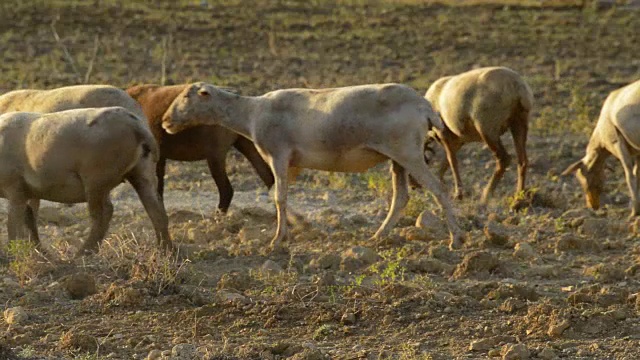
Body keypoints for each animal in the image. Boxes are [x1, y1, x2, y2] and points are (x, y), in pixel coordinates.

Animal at [0, 105, 172, 255]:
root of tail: (137, 126)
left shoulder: (15, 189)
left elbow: (13, 224)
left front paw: (13, 252)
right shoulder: (26, 193)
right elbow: (29, 218)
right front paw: (40, 252)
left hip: (96, 179)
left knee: (103, 213)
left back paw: (83, 253)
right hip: (141, 172)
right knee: (156, 211)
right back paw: (166, 253)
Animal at [160, 81, 464, 250]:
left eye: (186, 96)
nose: (165, 121)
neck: (250, 113)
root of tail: (425, 106)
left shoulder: (279, 154)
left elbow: (279, 197)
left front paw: (278, 240)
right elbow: (276, 194)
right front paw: (294, 228)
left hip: (408, 151)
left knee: (438, 190)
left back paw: (456, 238)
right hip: (397, 158)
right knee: (400, 197)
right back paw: (376, 237)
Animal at [422, 67, 532, 202]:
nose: (413, 186)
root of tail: (516, 85)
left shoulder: (444, 135)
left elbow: (452, 161)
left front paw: (458, 194)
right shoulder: (458, 142)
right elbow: (445, 163)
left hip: (488, 131)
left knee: (504, 159)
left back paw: (485, 196)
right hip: (519, 124)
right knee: (522, 161)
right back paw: (518, 198)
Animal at [560, 79, 640, 217]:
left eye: (581, 178)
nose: (593, 206)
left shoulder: (618, 143)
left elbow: (630, 176)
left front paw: (634, 212)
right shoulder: (638, 152)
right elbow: (638, 175)